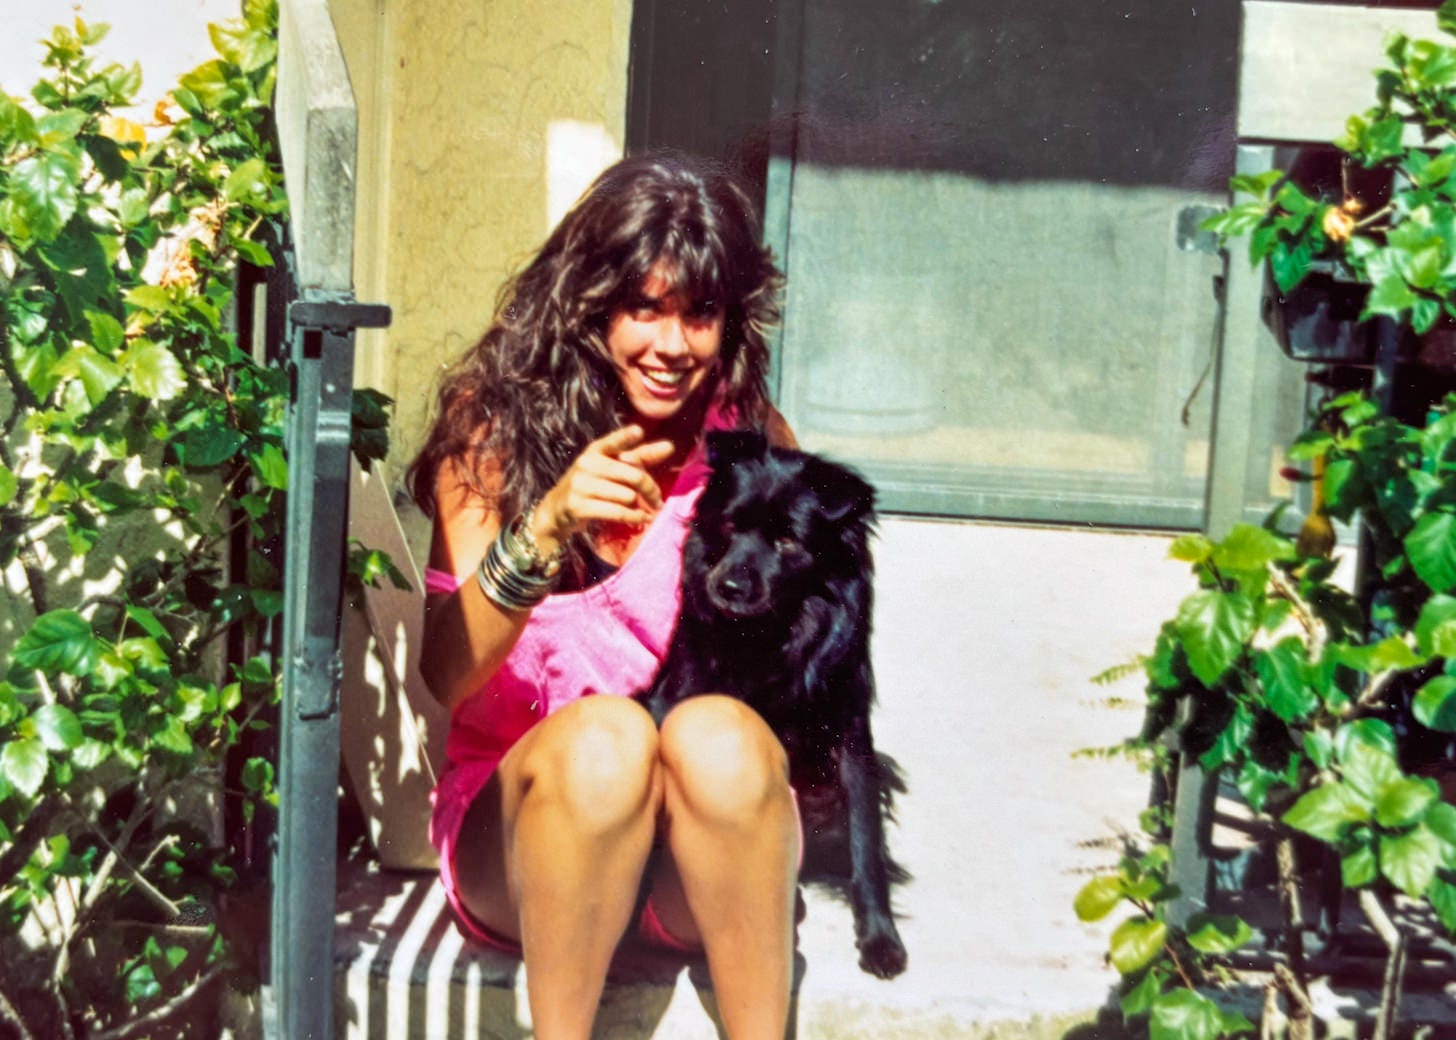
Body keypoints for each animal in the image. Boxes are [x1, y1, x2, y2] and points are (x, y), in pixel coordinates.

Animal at [640, 428, 902, 972]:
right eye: (729, 524)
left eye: (788, 541)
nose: (729, 585)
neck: (768, 635)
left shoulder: (852, 737)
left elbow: (866, 840)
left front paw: (880, 938)